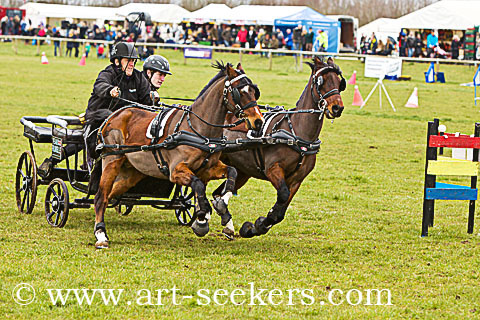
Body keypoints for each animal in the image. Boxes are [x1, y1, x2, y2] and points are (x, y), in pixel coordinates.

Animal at [89, 62, 262, 248]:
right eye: (240, 92)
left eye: (254, 91)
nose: (258, 121)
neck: (198, 129)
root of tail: (113, 115)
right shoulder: (176, 171)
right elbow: (198, 185)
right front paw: (202, 220)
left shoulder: (208, 169)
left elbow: (231, 173)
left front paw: (223, 210)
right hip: (112, 161)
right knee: (100, 197)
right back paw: (100, 234)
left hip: (132, 173)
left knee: (110, 195)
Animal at [214, 57, 344, 238]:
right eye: (321, 81)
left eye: (340, 82)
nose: (337, 108)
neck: (296, 133)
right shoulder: (273, 169)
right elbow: (282, 194)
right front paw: (259, 223)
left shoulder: (297, 180)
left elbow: (281, 211)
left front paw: (255, 227)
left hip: (242, 172)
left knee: (217, 194)